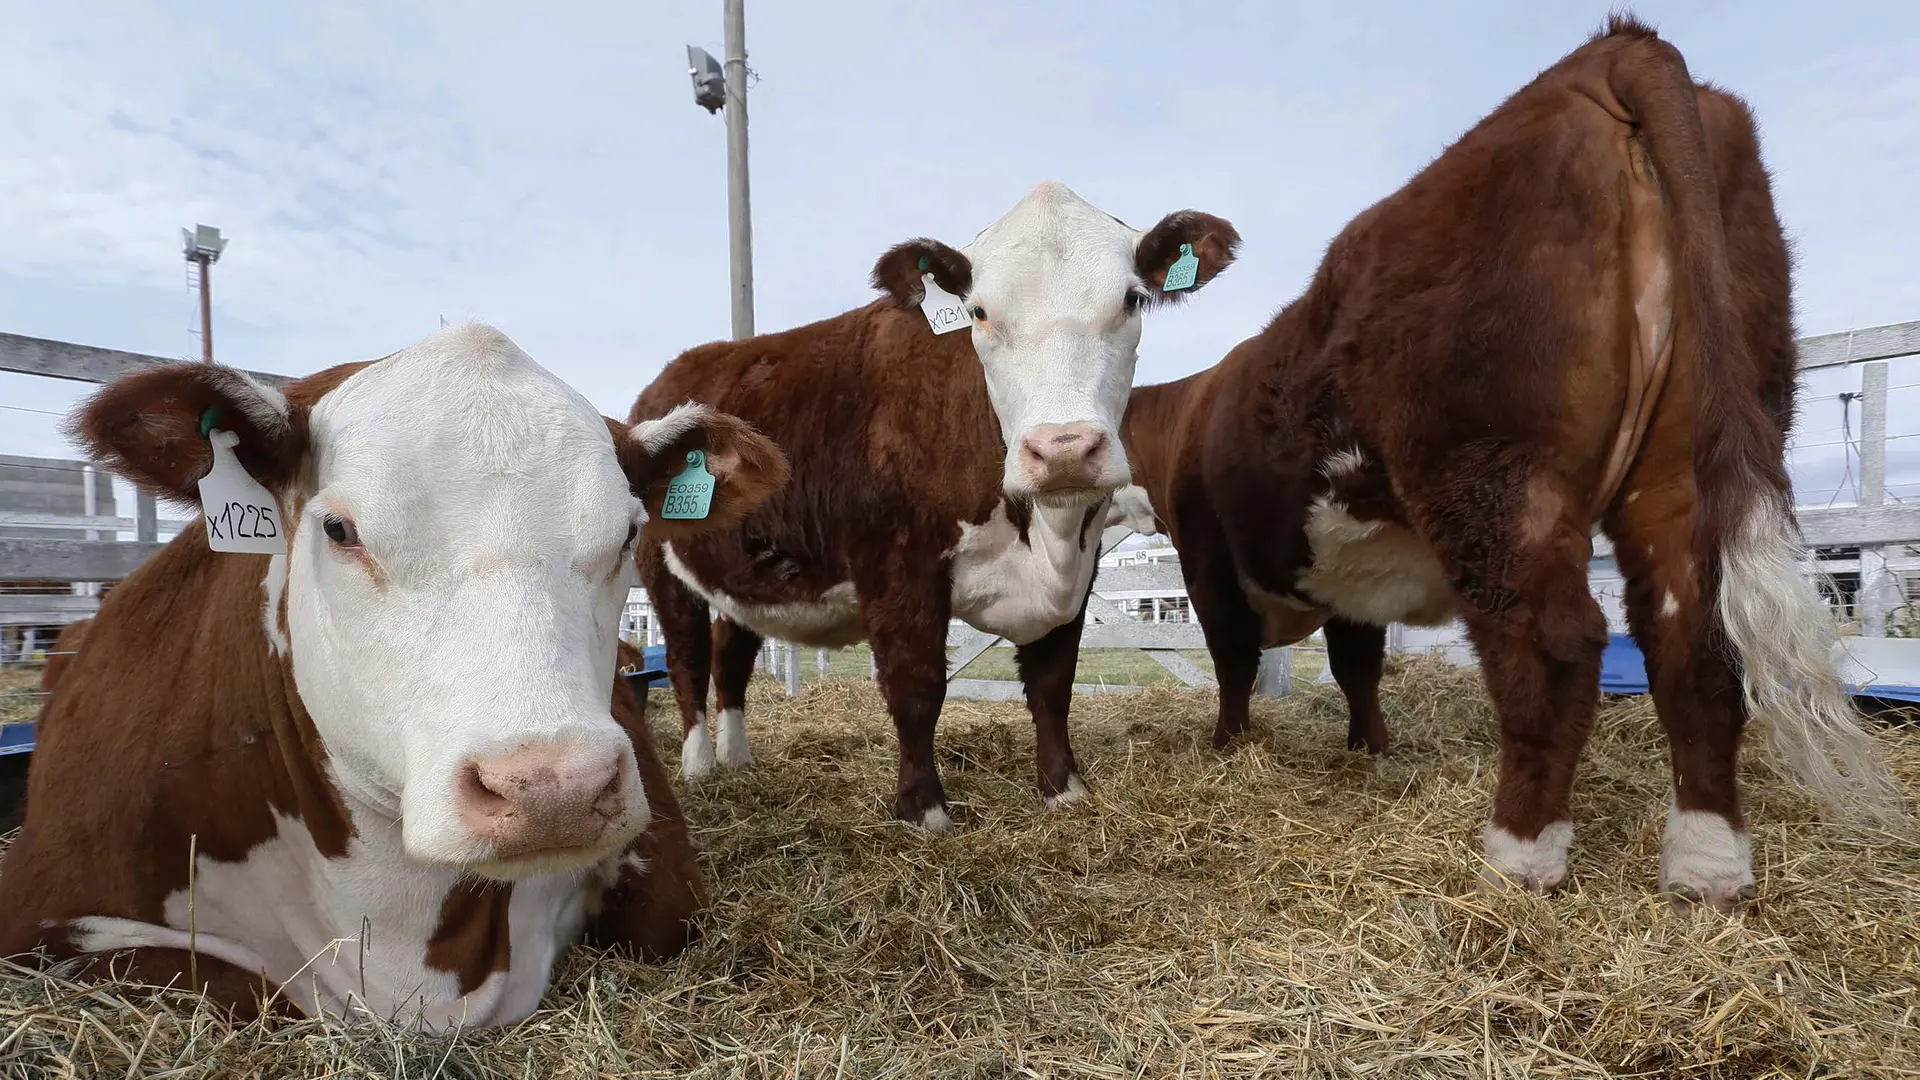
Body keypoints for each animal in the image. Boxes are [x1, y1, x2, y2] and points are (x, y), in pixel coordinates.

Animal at [633, 184, 1244, 822]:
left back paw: (737, 758)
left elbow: (1054, 683)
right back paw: (700, 765)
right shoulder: (897, 567)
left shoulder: (1081, 565)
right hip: (661, 570)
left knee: (731, 658)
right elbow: (918, 684)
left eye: (1131, 299)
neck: (1044, 539)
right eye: (978, 311)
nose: (1065, 450)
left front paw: (1063, 789)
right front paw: (923, 809)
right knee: (687, 659)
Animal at [1098, 18, 1904, 907]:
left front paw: (1230, 746)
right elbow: (1357, 664)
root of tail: (1612, 48)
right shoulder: (1343, 562)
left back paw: (1519, 853)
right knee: (1693, 639)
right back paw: (1706, 864)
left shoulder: (1208, 555)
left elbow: (1237, 660)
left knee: (1553, 649)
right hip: (1686, 456)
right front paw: (1369, 750)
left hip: (1493, 474)